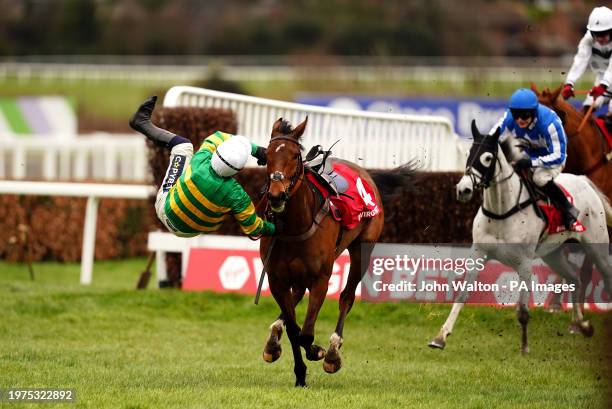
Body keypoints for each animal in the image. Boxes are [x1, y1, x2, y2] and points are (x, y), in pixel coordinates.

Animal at [260, 117, 416, 386]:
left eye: (295, 156)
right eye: (267, 154)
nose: (276, 195)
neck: (296, 225)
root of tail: (365, 172)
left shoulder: (321, 278)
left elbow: (305, 334)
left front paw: (319, 352)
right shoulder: (276, 278)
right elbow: (294, 329)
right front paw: (299, 373)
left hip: (363, 248)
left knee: (346, 297)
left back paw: (333, 351)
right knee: (296, 298)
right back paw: (273, 341)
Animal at [428, 119, 612, 352]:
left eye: (487, 158)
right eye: (469, 153)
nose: (464, 190)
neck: (501, 211)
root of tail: (584, 181)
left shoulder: (524, 264)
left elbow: (523, 309)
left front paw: (524, 348)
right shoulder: (478, 254)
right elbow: (462, 294)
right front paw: (440, 337)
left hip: (597, 247)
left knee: (604, 275)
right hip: (553, 254)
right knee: (574, 278)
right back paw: (580, 324)